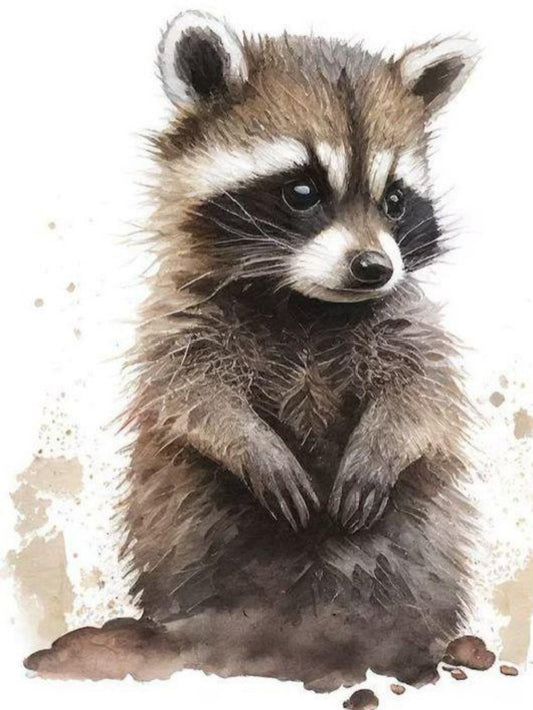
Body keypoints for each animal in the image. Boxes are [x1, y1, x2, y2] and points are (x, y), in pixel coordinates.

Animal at [26, 11, 479, 690]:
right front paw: (251, 443)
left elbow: (423, 391)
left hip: (419, 539)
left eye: (395, 200)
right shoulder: (183, 313)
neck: (305, 303)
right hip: (184, 527)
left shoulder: (404, 318)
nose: (374, 268)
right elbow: (190, 391)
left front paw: (383, 441)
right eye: (302, 191)